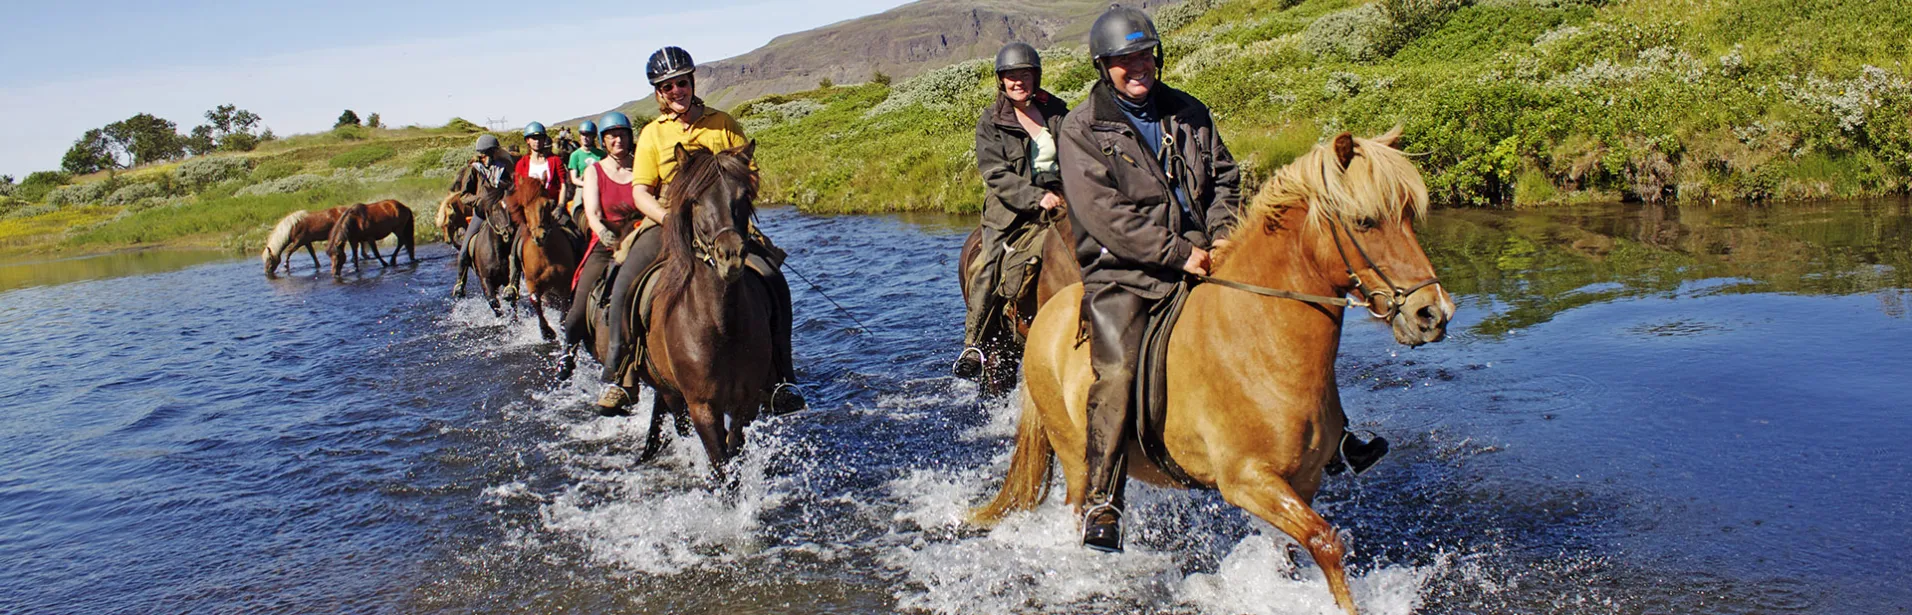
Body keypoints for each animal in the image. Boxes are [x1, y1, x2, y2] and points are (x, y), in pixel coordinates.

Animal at [500, 173, 581, 341]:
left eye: (548, 204)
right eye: (524, 207)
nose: (539, 236)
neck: (546, 255)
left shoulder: (566, 281)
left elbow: (565, 302)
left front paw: (563, 325)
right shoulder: (533, 283)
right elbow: (535, 300)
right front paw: (546, 331)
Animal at [634, 141, 783, 477]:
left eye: (743, 196)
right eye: (696, 200)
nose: (731, 255)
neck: (720, 326)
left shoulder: (746, 402)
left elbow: (734, 451)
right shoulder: (702, 407)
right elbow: (721, 466)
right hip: (670, 391)